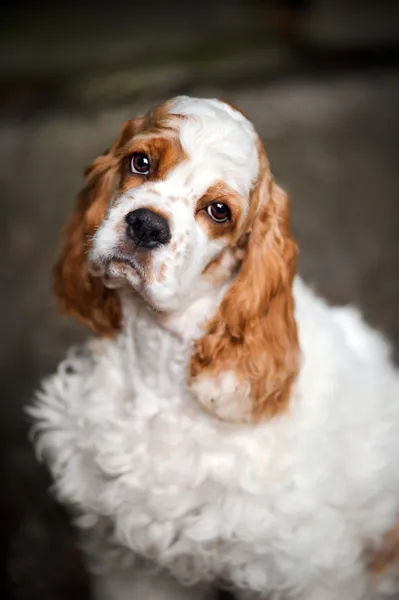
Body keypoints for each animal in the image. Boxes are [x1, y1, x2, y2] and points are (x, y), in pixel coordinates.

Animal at [29, 96, 399, 596]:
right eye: (140, 162)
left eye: (219, 210)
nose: (146, 225)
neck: (158, 369)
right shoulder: (133, 559)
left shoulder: (300, 568)